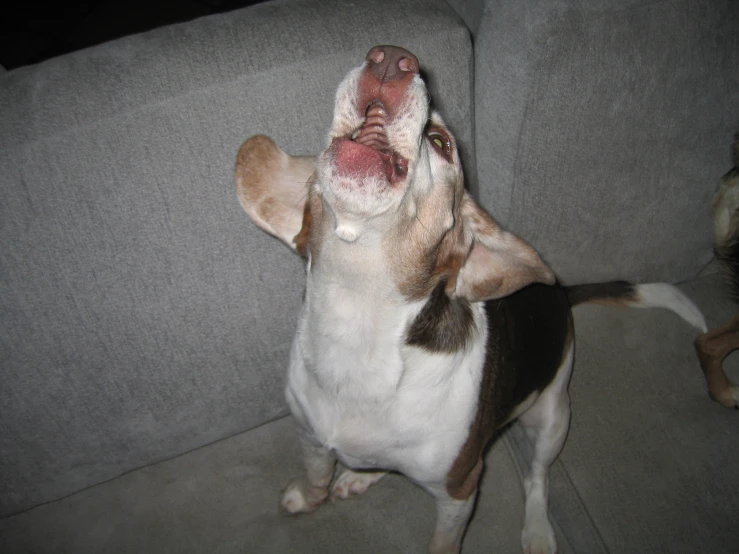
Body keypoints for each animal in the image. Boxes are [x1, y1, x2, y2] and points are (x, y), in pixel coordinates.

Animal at [236, 45, 704, 548]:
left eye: (441, 143)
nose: (392, 59)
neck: (355, 323)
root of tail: (560, 295)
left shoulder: (461, 489)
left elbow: (445, 540)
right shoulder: (309, 435)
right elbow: (317, 473)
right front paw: (309, 496)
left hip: (552, 417)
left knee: (538, 479)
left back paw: (538, 530)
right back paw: (362, 475)